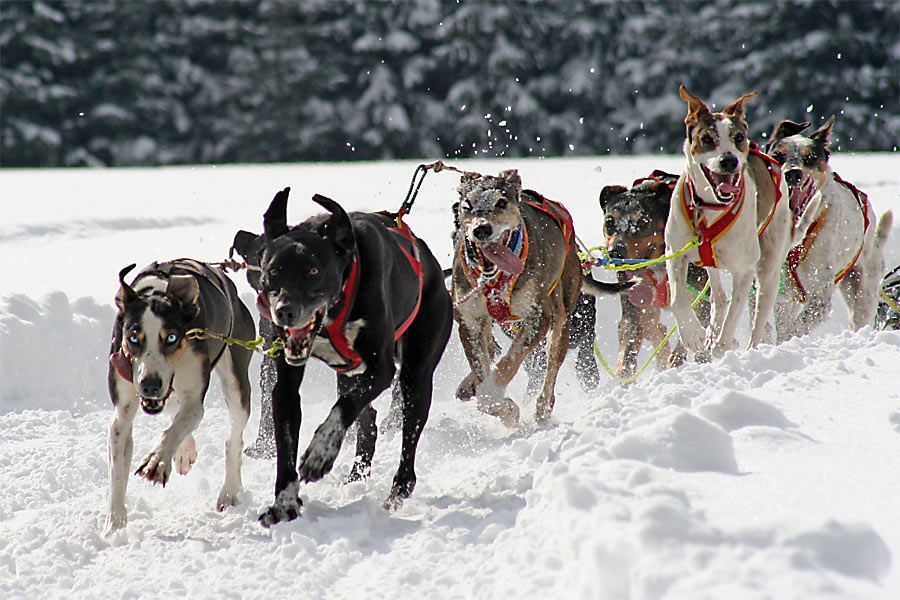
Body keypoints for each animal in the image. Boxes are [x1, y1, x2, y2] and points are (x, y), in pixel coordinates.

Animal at [103, 258, 255, 536]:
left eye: (171, 337)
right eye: (133, 338)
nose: (150, 385)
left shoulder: (195, 400)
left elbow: (174, 429)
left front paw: (157, 461)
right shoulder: (122, 412)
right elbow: (118, 470)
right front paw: (115, 526)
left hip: (237, 380)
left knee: (233, 440)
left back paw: (229, 491)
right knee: (175, 410)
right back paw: (185, 452)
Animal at [246, 186, 454, 524]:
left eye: (313, 271)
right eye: (273, 270)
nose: (284, 312)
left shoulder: (381, 369)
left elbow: (342, 408)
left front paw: (320, 452)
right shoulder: (286, 383)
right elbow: (286, 443)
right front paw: (284, 503)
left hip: (416, 375)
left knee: (407, 435)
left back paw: (397, 492)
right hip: (349, 374)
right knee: (366, 422)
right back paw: (356, 478)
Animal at [454, 171, 628, 428]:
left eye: (501, 202)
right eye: (468, 205)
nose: (482, 229)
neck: (495, 281)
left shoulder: (538, 317)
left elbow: (509, 363)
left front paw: (495, 394)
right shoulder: (470, 322)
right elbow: (481, 370)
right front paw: (504, 408)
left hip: (562, 321)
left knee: (552, 366)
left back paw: (543, 407)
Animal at [660, 86, 796, 358]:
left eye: (738, 137)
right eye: (707, 138)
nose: (729, 160)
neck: (709, 207)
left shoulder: (744, 269)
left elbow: (736, 309)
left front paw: (723, 344)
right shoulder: (675, 252)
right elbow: (678, 299)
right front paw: (693, 334)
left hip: (769, 268)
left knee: (758, 318)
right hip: (711, 262)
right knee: (719, 297)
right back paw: (712, 328)